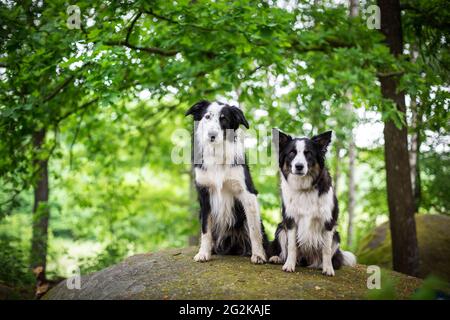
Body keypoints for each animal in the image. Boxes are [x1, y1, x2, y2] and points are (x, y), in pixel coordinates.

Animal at [185, 100, 268, 264]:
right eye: (207, 117)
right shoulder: (204, 195)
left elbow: (254, 230)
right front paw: (203, 253)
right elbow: (205, 229)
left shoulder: (247, 194)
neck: (216, 153)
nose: (212, 135)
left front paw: (258, 255)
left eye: (224, 119)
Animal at [268, 127, 356, 276]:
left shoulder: (328, 222)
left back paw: (321, 265)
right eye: (292, 153)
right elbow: (292, 246)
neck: (304, 188)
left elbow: (326, 249)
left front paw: (328, 268)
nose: (299, 166)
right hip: (280, 228)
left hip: (336, 236)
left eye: (308, 153)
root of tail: (307, 259)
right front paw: (289, 265)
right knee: (285, 250)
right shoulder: (290, 220)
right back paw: (278, 258)